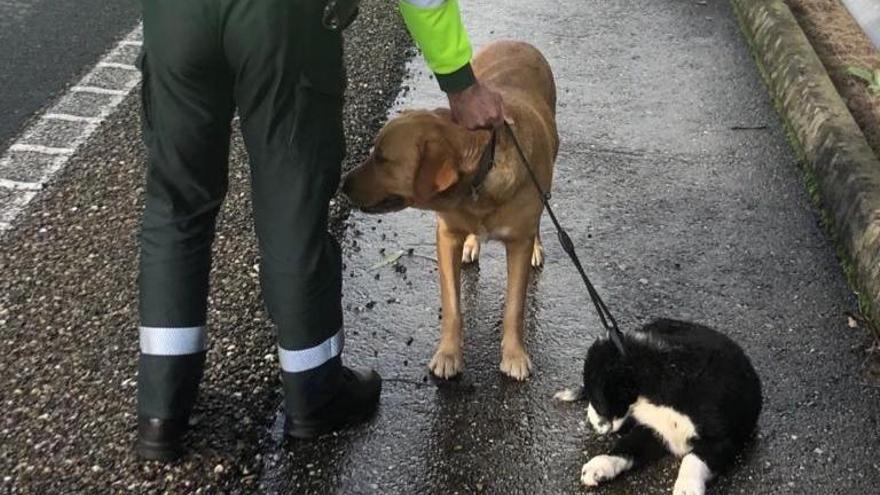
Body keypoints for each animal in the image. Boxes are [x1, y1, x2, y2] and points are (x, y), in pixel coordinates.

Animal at [342, 40, 556, 382]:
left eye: (383, 159)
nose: (343, 184)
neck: (483, 173)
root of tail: (516, 41)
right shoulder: (446, 236)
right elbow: (453, 306)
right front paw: (448, 354)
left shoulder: (518, 244)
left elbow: (514, 307)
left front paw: (514, 354)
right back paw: (473, 243)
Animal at [556, 320, 764, 494]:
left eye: (597, 400)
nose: (590, 423)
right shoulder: (654, 430)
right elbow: (627, 444)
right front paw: (601, 464)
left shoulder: (723, 439)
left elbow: (692, 458)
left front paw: (686, 488)